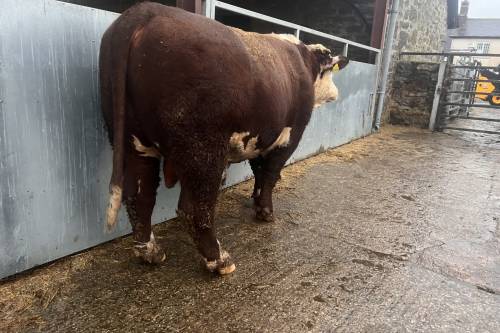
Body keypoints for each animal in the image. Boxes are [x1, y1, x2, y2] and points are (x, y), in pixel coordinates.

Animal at [97, 1, 348, 274]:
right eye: (329, 71)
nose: (336, 93)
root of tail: (146, 11)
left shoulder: (260, 136)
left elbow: (258, 171)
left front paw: (256, 201)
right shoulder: (288, 136)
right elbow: (270, 175)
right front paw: (266, 212)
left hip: (134, 142)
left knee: (139, 197)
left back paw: (151, 253)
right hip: (201, 148)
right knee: (194, 208)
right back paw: (219, 260)